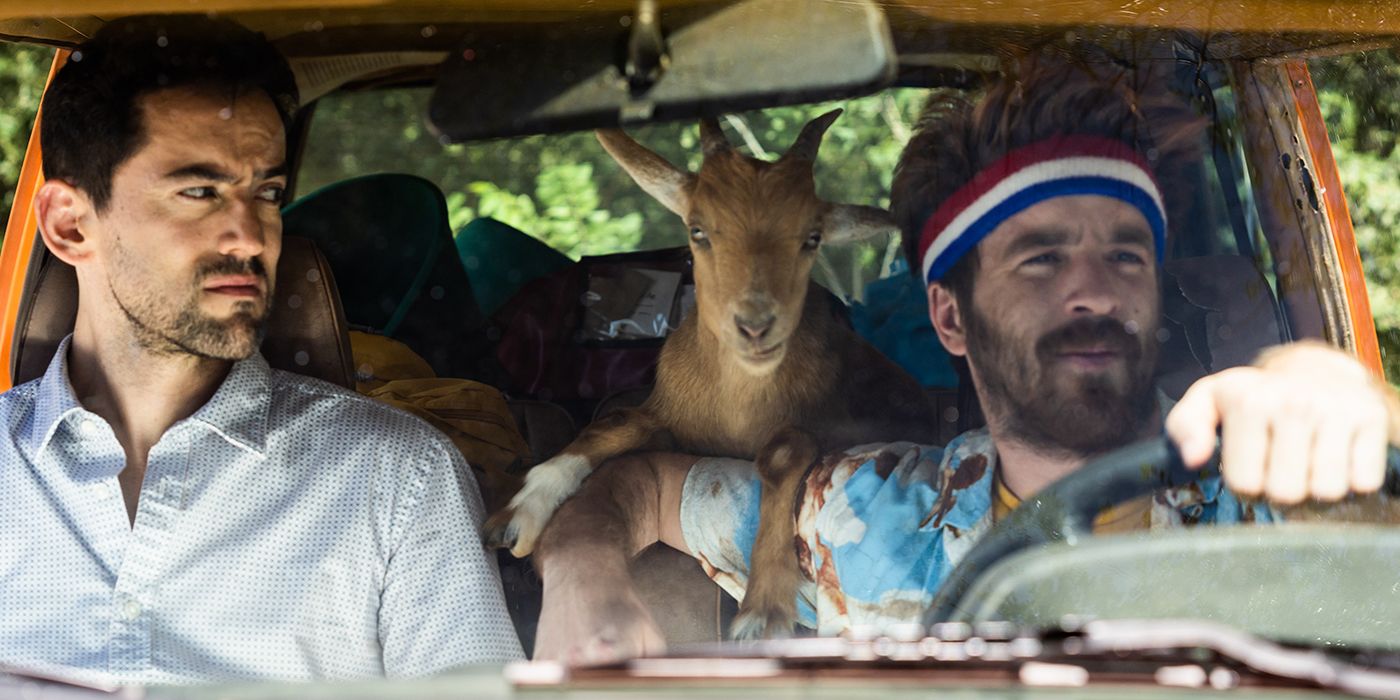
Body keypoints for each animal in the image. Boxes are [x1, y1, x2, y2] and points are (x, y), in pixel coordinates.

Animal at [487, 109, 935, 641]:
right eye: (698, 230)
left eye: (812, 237)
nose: (756, 326)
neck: (736, 404)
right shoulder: (669, 412)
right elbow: (616, 424)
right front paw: (522, 510)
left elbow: (787, 451)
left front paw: (764, 607)